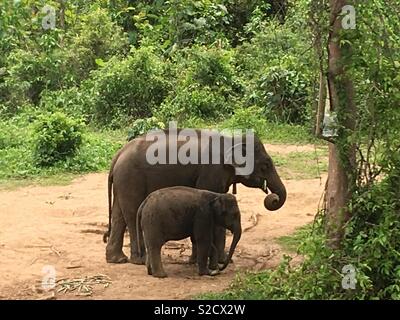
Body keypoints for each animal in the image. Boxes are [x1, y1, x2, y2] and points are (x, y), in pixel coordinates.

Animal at [102, 127, 284, 264]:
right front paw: (213, 261)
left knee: (119, 214)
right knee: (132, 213)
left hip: (123, 181)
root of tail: (118, 155)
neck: (231, 140)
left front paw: (200, 261)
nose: (273, 198)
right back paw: (139, 260)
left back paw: (117, 259)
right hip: (131, 178)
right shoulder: (211, 172)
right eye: (265, 165)